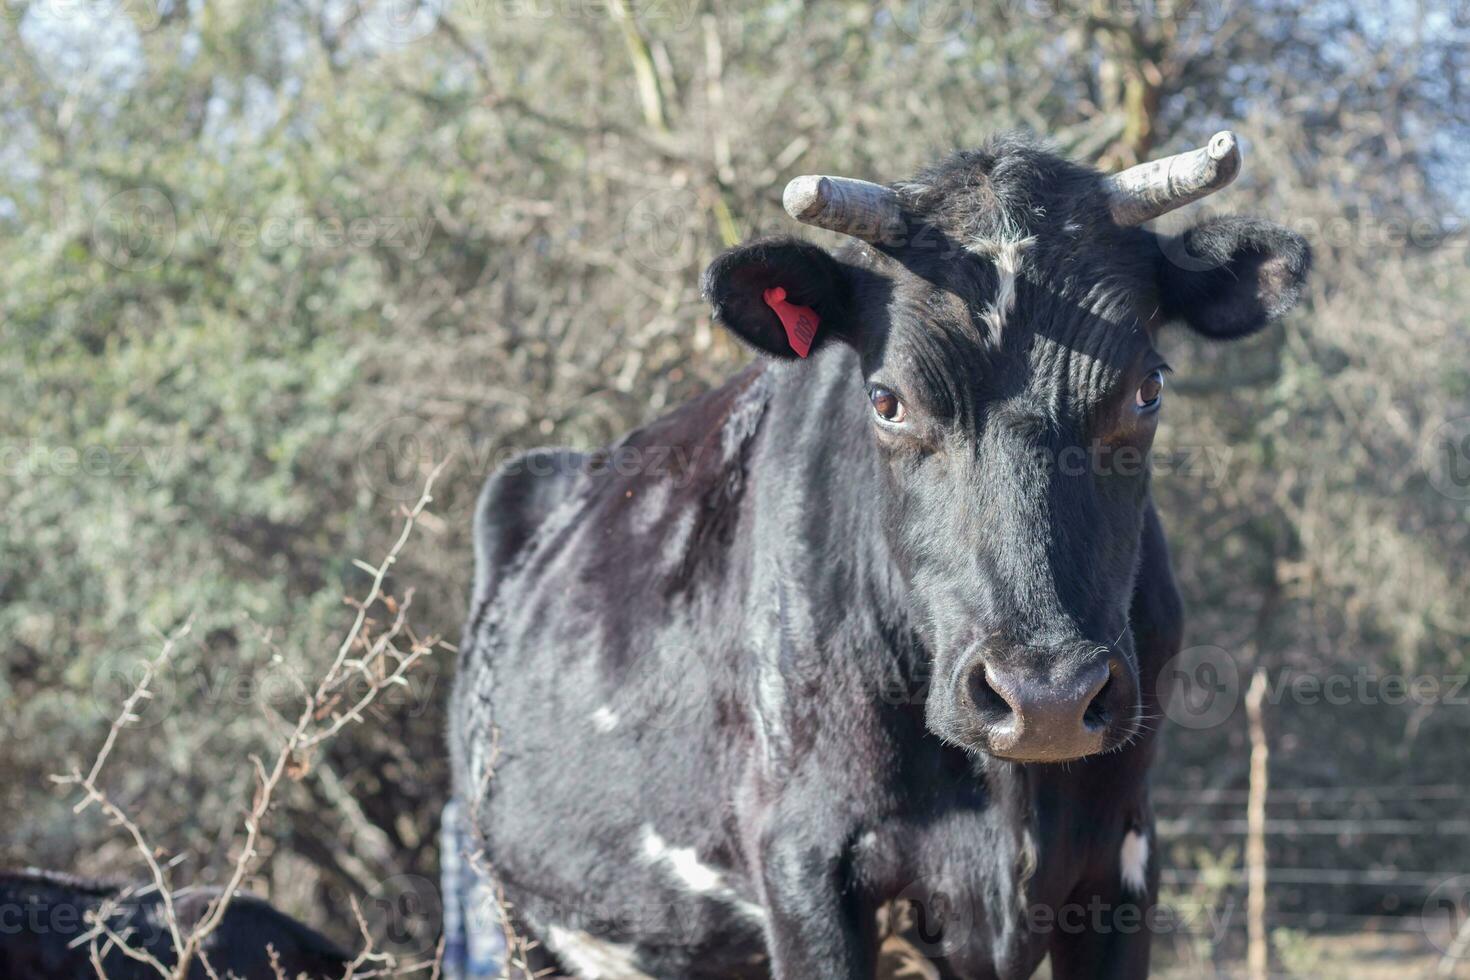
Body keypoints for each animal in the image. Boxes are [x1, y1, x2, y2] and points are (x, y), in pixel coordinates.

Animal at [446, 132, 1311, 980]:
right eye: (886, 400)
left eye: (1148, 388)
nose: (1047, 697)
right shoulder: (804, 863)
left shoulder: (1122, 857)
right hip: (511, 916)